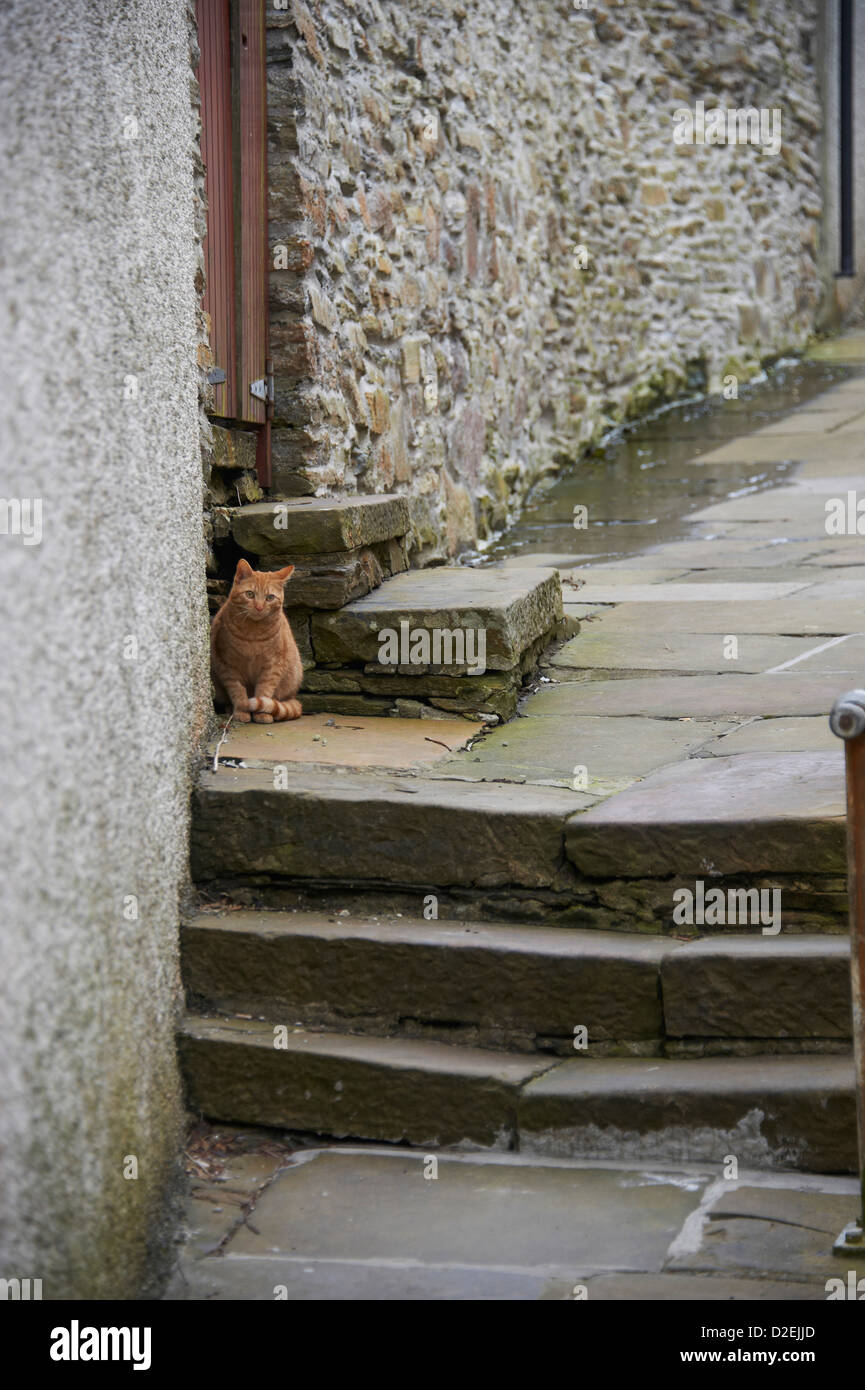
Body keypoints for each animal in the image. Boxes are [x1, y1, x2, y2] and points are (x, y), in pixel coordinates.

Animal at [211, 556, 303, 728]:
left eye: (270, 597)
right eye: (250, 594)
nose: (259, 607)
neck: (253, 635)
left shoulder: (272, 666)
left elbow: (264, 691)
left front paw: (261, 713)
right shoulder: (228, 665)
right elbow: (237, 691)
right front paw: (241, 710)